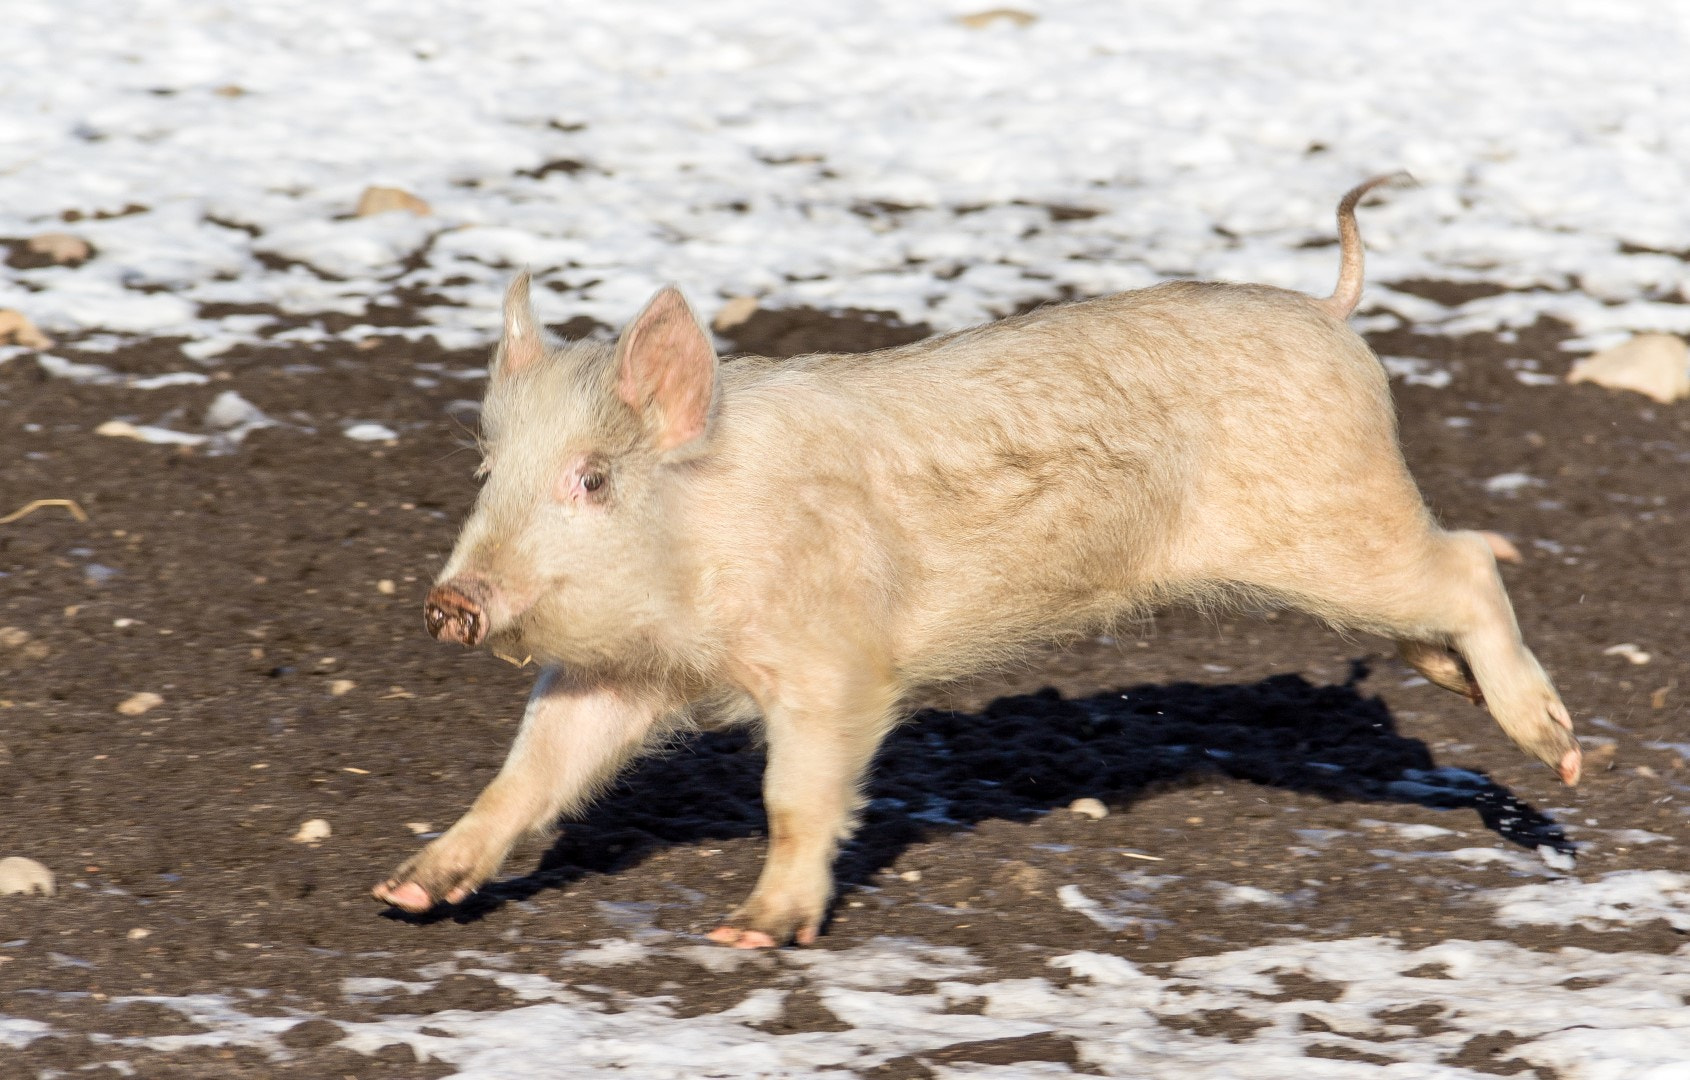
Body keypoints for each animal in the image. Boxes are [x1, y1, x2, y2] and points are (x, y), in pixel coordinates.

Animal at [374, 176, 1580, 947]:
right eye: (486, 468)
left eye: (592, 479)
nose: (450, 603)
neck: (701, 557)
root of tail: (1334, 315)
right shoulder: (619, 676)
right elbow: (529, 771)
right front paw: (403, 896)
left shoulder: (833, 664)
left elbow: (795, 794)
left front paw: (746, 937)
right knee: (1429, 623)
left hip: (1336, 524)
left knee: (1468, 562)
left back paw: (1563, 759)